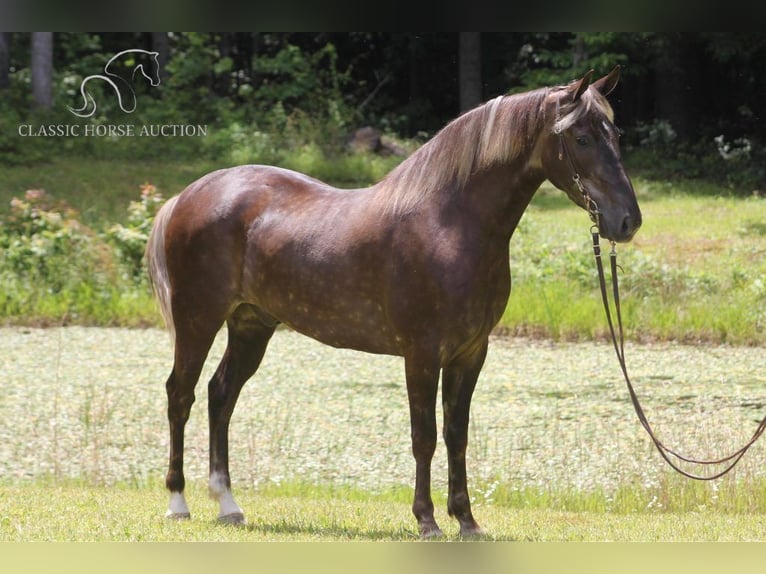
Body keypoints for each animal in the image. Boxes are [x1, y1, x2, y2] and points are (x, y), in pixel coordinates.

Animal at [144, 67, 640, 540]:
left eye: (615, 133)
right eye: (582, 138)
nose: (627, 221)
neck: (450, 224)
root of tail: (188, 195)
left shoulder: (470, 353)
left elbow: (456, 435)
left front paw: (466, 520)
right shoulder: (421, 354)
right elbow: (425, 436)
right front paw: (427, 519)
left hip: (251, 325)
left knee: (220, 394)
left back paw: (228, 504)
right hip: (198, 320)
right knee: (180, 394)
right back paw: (177, 503)